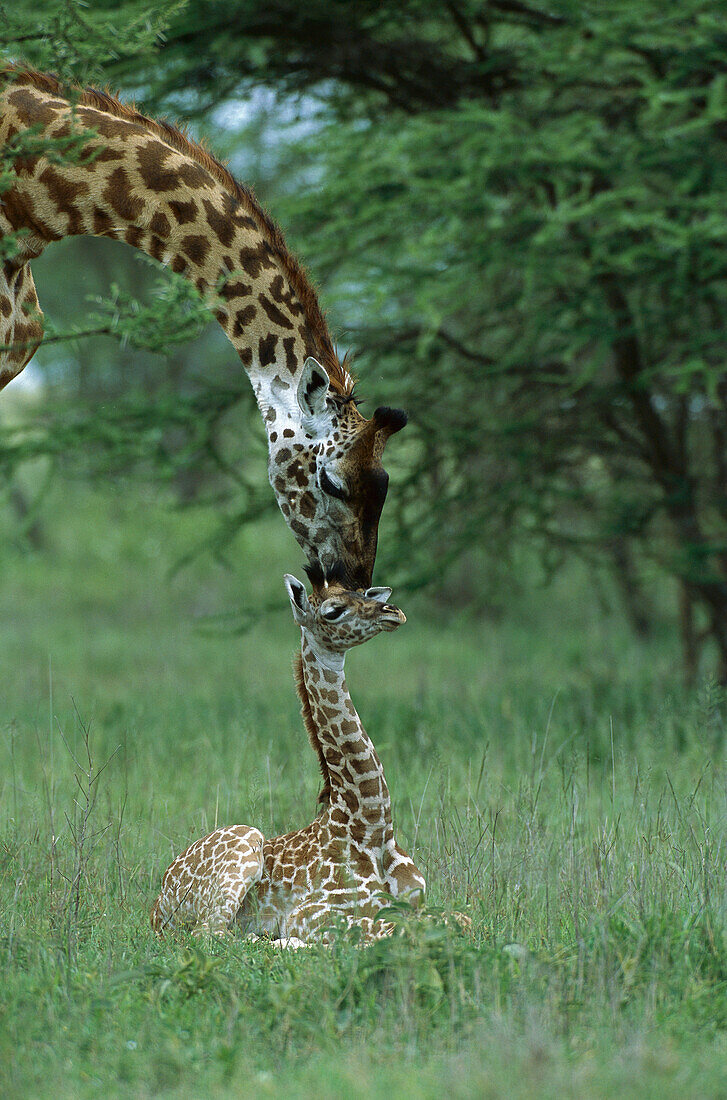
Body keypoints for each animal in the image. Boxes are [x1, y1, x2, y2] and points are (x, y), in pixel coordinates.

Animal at [152, 572, 424, 941]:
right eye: (333, 610)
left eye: (365, 593)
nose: (392, 611)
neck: (372, 827)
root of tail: (156, 907)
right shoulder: (312, 914)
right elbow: (396, 928)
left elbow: (456, 919)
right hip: (243, 844)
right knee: (213, 934)